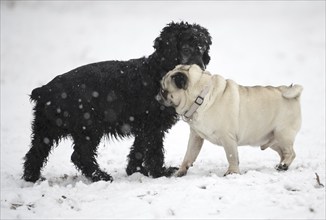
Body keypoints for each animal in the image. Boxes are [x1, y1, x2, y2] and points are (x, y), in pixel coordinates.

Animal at [22, 21, 211, 182]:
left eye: (202, 49)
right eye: (185, 49)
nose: (201, 69)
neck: (157, 70)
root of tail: (45, 90)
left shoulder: (144, 126)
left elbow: (138, 149)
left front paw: (135, 170)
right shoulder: (153, 126)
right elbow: (154, 151)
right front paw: (160, 172)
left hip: (46, 129)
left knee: (35, 153)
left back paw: (32, 178)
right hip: (88, 127)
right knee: (80, 155)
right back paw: (100, 176)